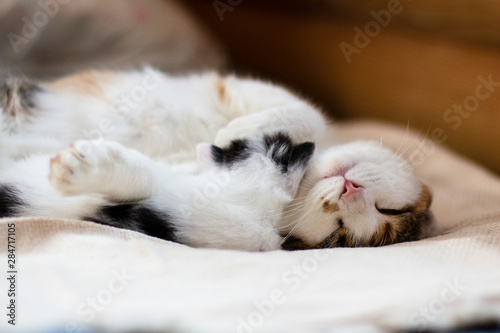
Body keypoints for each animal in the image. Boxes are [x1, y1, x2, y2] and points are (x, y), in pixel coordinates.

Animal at [0, 68, 434, 249]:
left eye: (339, 233)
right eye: (390, 209)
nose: (350, 192)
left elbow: (143, 175)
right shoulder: (235, 90)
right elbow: (304, 113)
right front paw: (229, 132)